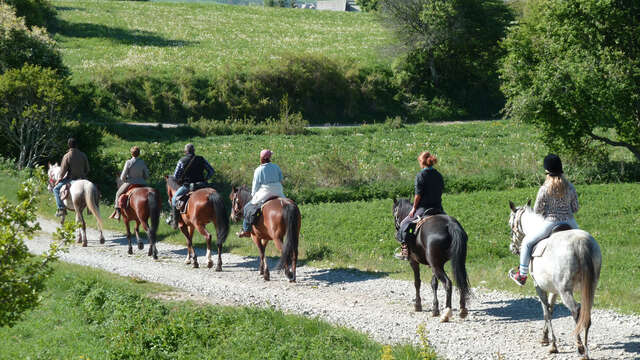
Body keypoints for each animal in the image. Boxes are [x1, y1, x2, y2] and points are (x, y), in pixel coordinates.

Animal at [508, 201, 604, 358]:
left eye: (511, 224)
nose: (513, 248)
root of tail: (580, 243)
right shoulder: (554, 290)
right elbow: (551, 309)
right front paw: (545, 338)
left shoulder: (539, 286)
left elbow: (546, 311)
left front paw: (552, 344)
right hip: (590, 287)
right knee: (586, 313)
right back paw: (585, 348)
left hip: (566, 290)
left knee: (576, 310)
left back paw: (580, 347)